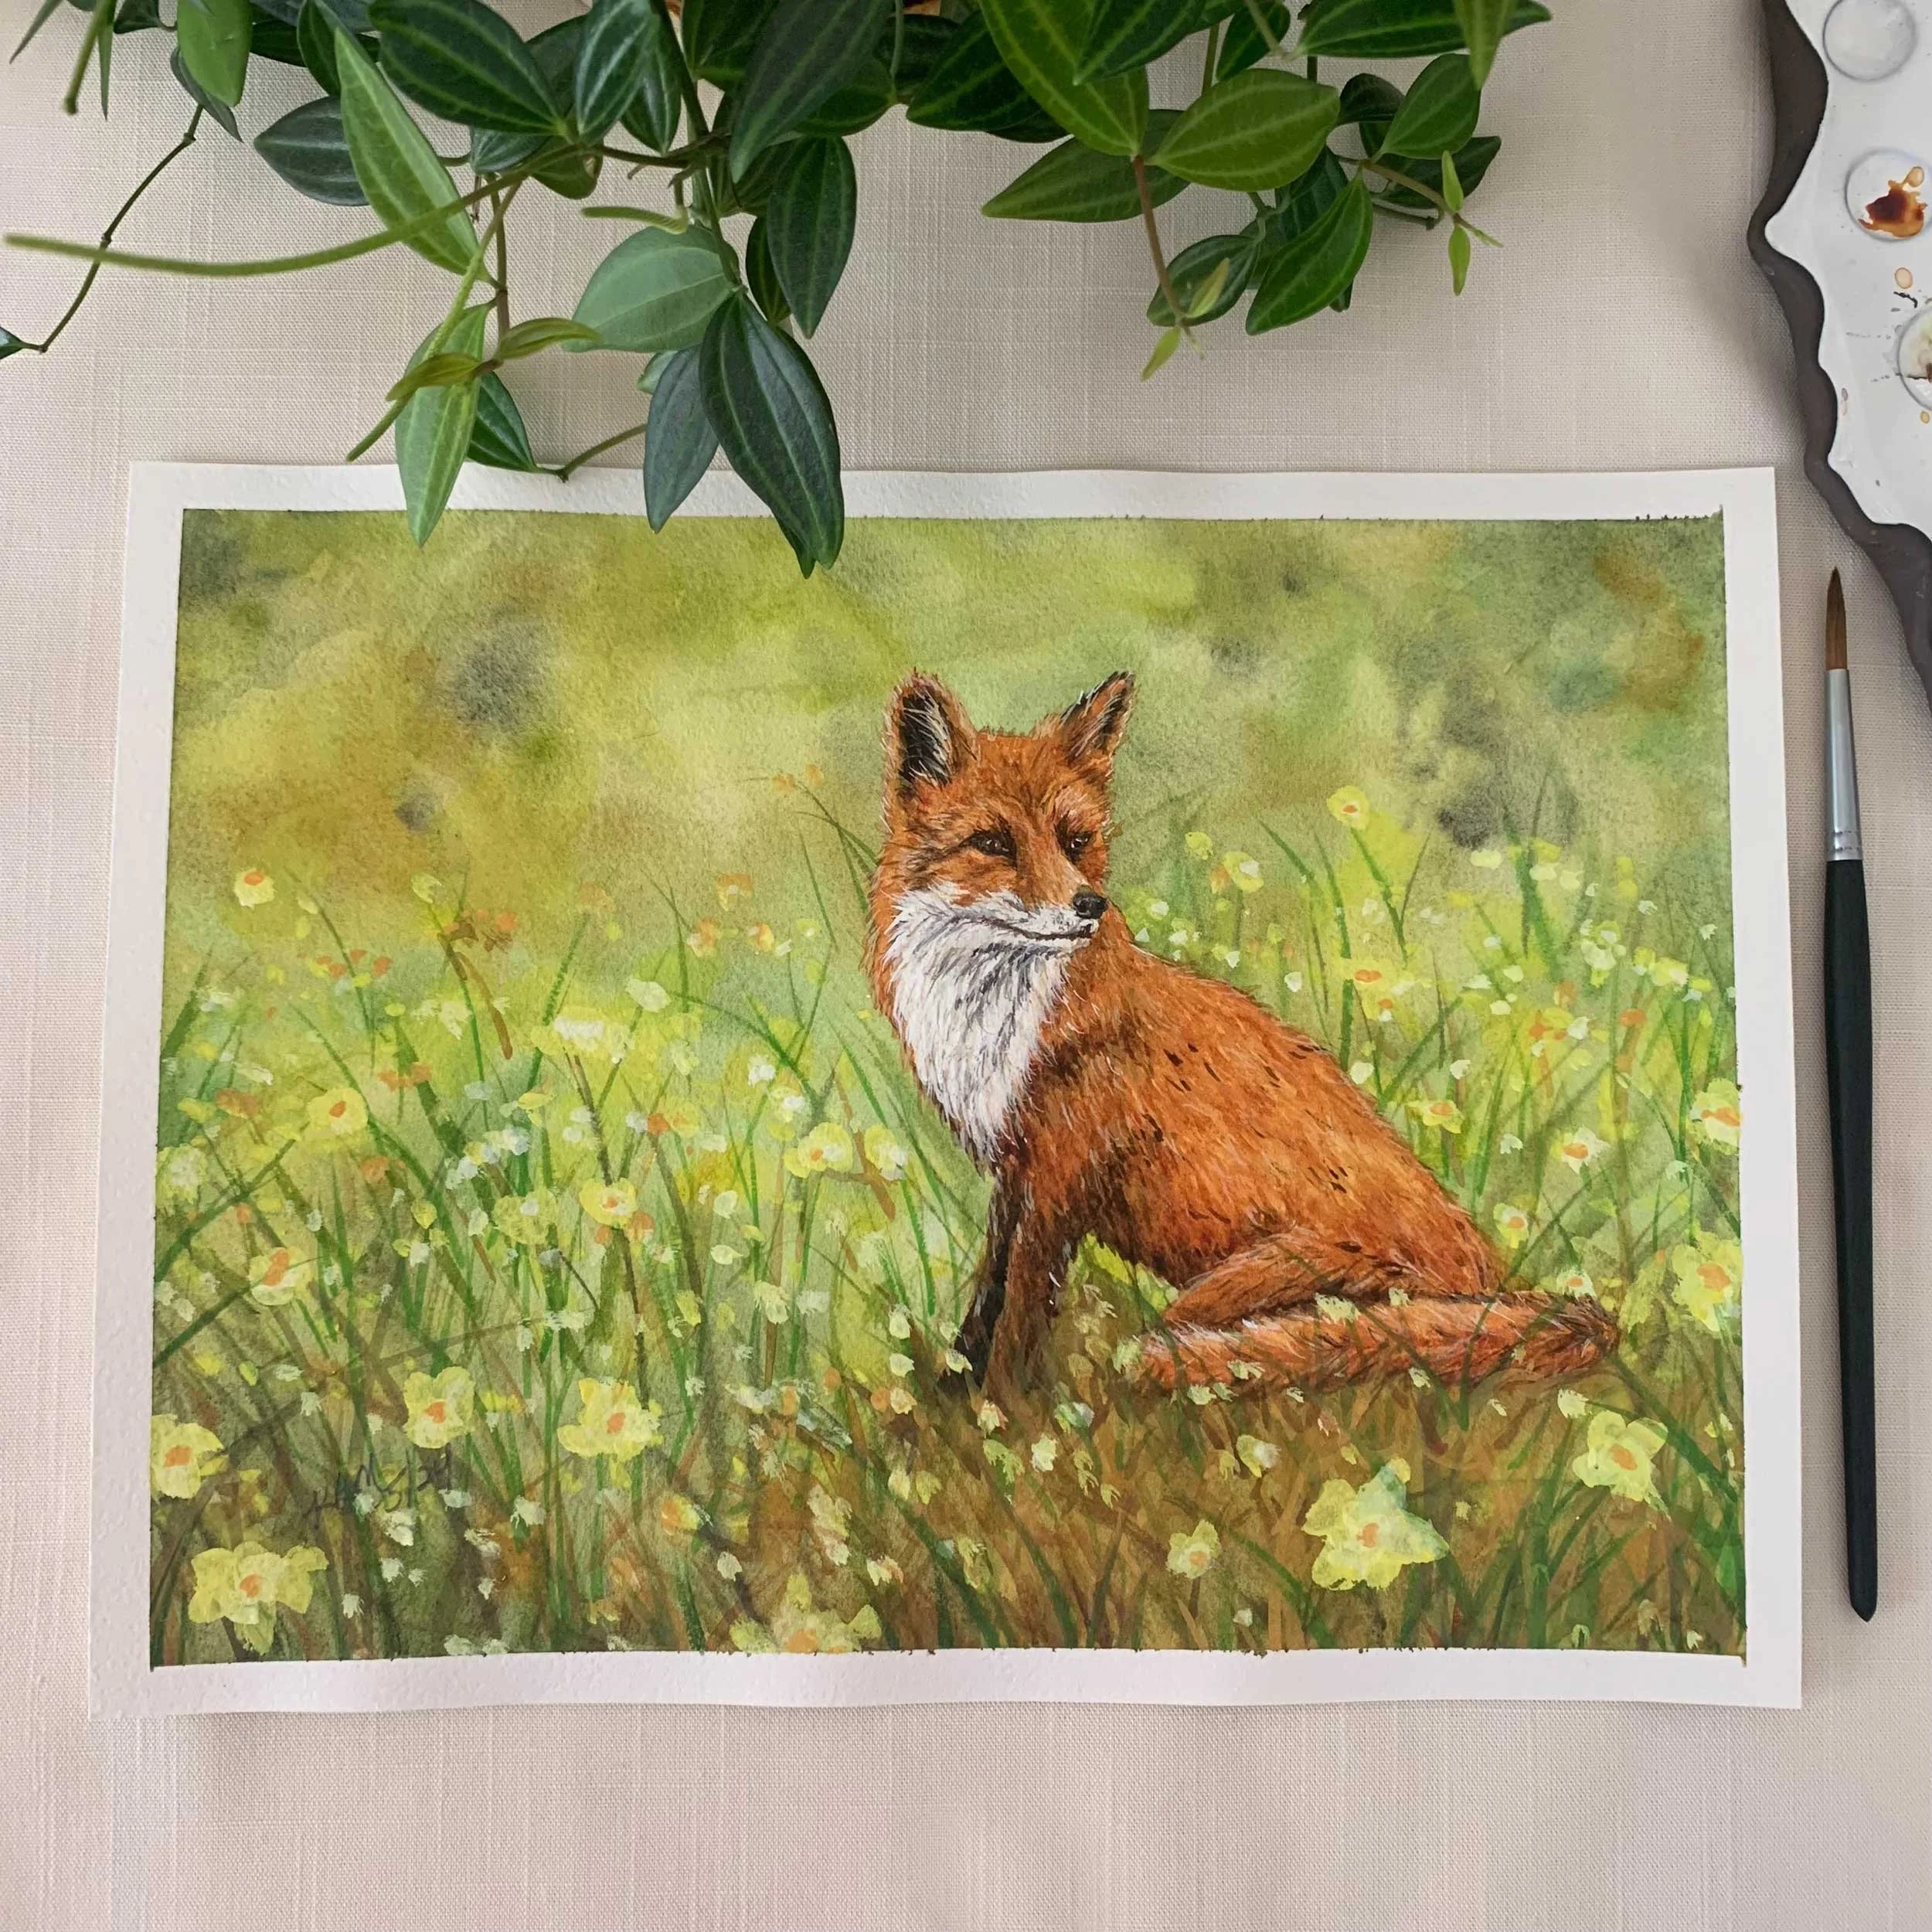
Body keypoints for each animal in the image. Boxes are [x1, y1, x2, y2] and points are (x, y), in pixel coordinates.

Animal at [865, 669, 1619, 1398]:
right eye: (993, 843)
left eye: (1075, 841)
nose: (1088, 906)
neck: (993, 1023)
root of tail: (1499, 1285)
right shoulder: (1015, 1170)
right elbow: (986, 1297)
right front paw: (952, 1394)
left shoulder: (1061, 1171)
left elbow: (1020, 1312)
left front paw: (1004, 1410)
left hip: (1240, 1288)